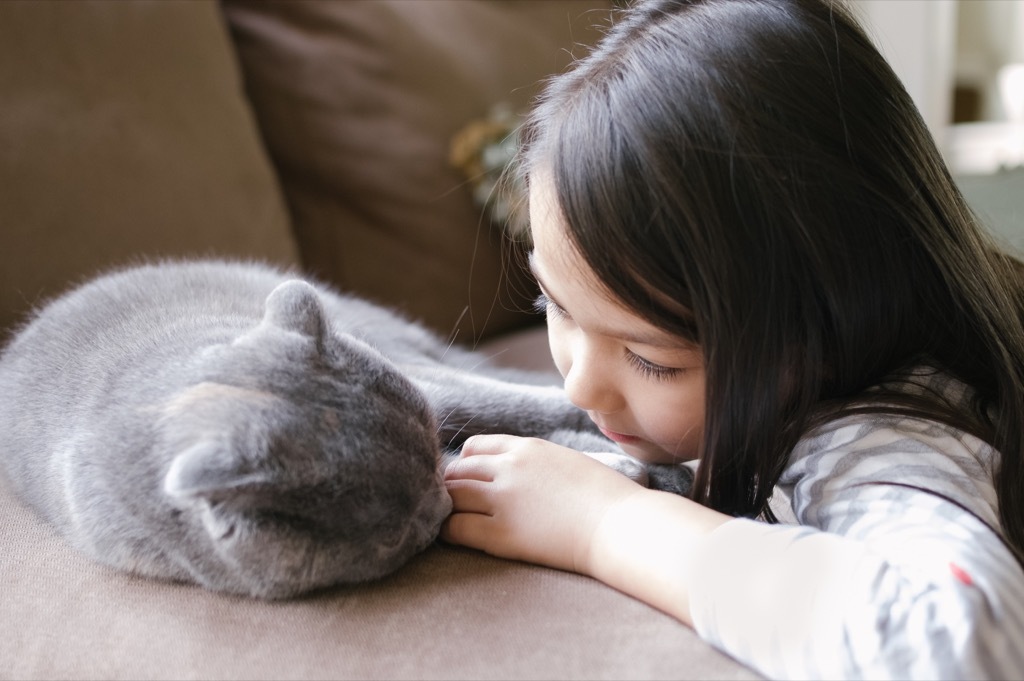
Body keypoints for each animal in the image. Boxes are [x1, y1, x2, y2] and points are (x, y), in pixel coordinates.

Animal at [0, 259, 692, 593]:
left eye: (424, 431)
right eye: (393, 535)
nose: (440, 506)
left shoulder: (435, 390)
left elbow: (524, 409)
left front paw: (631, 454)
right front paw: (623, 466)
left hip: (413, 346)